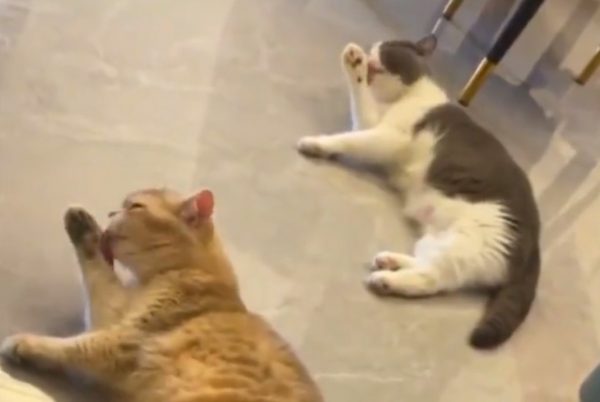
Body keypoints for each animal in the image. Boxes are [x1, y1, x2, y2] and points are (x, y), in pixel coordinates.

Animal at [0, 189, 323, 402]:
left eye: (135, 206)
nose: (111, 213)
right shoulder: (117, 318)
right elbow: (99, 270)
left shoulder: (121, 336)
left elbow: (78, 338)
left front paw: (23, 344)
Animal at [296, 35, 540, 349]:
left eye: (386, 47)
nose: (371, 50)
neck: (403, 96)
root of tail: (536, 245)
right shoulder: (373, 123)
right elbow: (359, 107)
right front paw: (353, 62)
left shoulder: (387, 137)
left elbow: (350, 140)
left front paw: (317, 142)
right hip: (439, 240)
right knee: (426, 262)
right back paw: (390, 261)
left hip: (464, 243)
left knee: (432, 279)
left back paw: (386, 280)